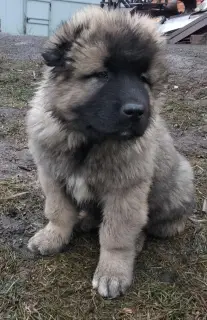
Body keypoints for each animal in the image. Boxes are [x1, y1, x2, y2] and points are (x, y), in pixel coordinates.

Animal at [27, 6, 194, 298]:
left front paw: (112, 273)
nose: (136, 111)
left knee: (155, 223)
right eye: (102, 74)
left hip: (178, 182)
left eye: (143, 79)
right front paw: (53, 237)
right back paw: (85, 221)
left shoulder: (125, 191)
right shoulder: (52, 176)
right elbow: (58, 212)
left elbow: (116, 234)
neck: (89, 139)